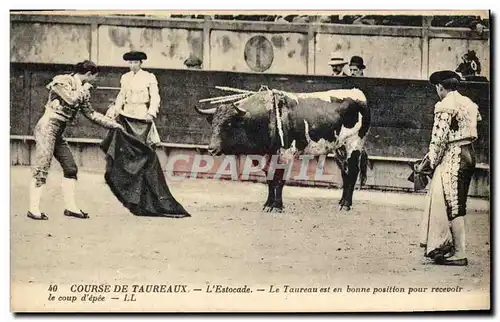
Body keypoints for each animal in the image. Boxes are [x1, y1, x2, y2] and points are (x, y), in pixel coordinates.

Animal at [195, 88, 372, 213]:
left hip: (353, 144)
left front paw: (277, 206)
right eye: (214, 124)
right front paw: (268, 204)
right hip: (339, 149)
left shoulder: (284, 155)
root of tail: (358, 93)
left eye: (229, 124)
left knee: (353, 172)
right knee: (345, 173)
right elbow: (270, 179)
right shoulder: (266, 156)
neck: (266, 119)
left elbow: (279, 180)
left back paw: (346, 205)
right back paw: (341, 202)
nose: (212, 149)